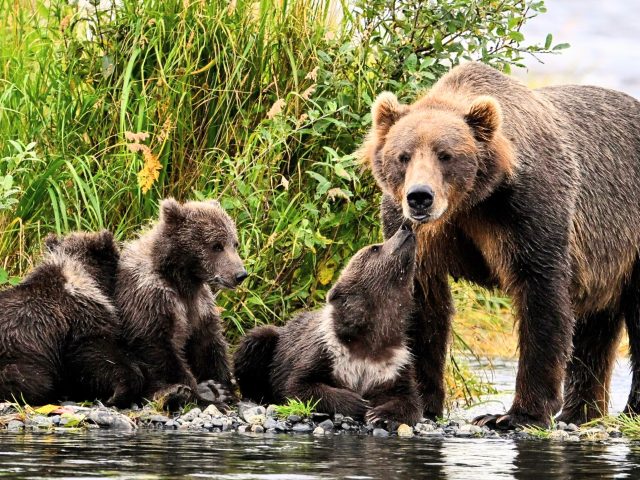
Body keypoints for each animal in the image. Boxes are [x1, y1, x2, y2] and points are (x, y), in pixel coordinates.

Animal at [115, 198, 247, 409]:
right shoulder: (150, 297)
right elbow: (157, 344)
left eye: (235, 243)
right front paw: (204, 392)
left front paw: (225, 388)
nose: (240, 274)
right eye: (216, 245)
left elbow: (209, 343)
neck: (183, 279)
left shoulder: (200, 305)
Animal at [233, 224, 423, 425]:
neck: (371, 335)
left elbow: (410, 399)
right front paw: (357, 402)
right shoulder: (328, 349)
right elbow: (298, 385)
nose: (405, 228)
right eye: (375, 248)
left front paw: (380, 414)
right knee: (255, 342)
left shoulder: (394, 363)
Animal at [361, 61, 640, 428]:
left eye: (446, 155)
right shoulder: (415, 232)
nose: (420, 196)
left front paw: (515, 413)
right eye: (403, 156)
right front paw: (411, 403)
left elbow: (542, 296)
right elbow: (419, 305)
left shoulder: (525, 211)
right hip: (606, 259)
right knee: (596, 328)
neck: (470, 202)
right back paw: (581, 413)